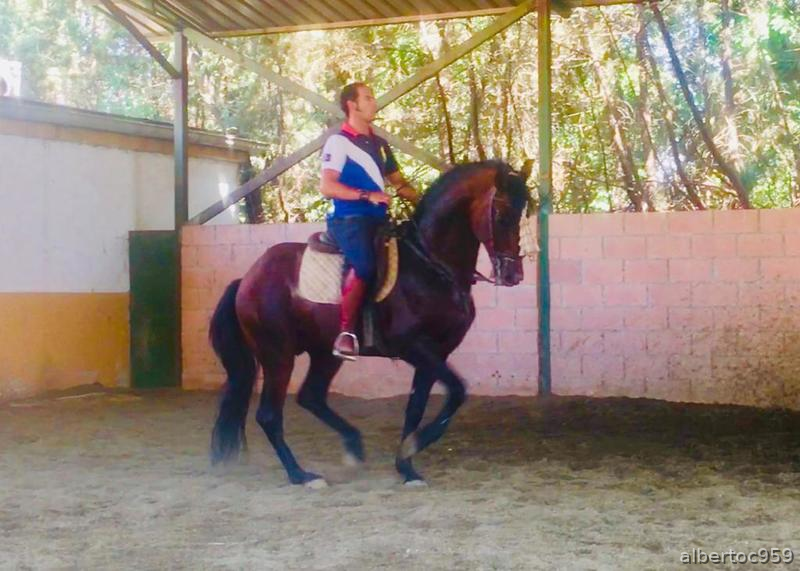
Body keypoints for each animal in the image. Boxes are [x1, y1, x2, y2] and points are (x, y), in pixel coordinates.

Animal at [209, 160, 530, 487]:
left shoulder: (437, 351)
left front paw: (406, 466)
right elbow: (456, 391)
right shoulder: (413, 347)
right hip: (278, 355)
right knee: (270, 415)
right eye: (501, 215)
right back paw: (301, 475)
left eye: (522, 212)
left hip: (325, 352)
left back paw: (352, 444)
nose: (513, 275)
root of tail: (247, 279)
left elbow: (416, 407)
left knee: (311, 396)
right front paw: (413, 447)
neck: (431, 265)